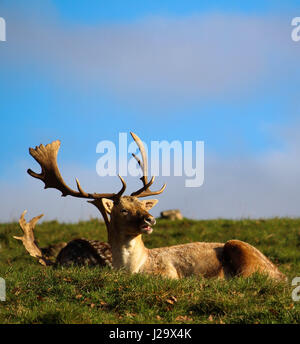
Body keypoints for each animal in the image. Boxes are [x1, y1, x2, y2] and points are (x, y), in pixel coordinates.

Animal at [15, 133, 288, 280]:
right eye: (123, 209)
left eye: (142, 205)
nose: (150, 219)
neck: (135, 268)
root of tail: (281, 273)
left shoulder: (169, 274)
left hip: (241, 250)